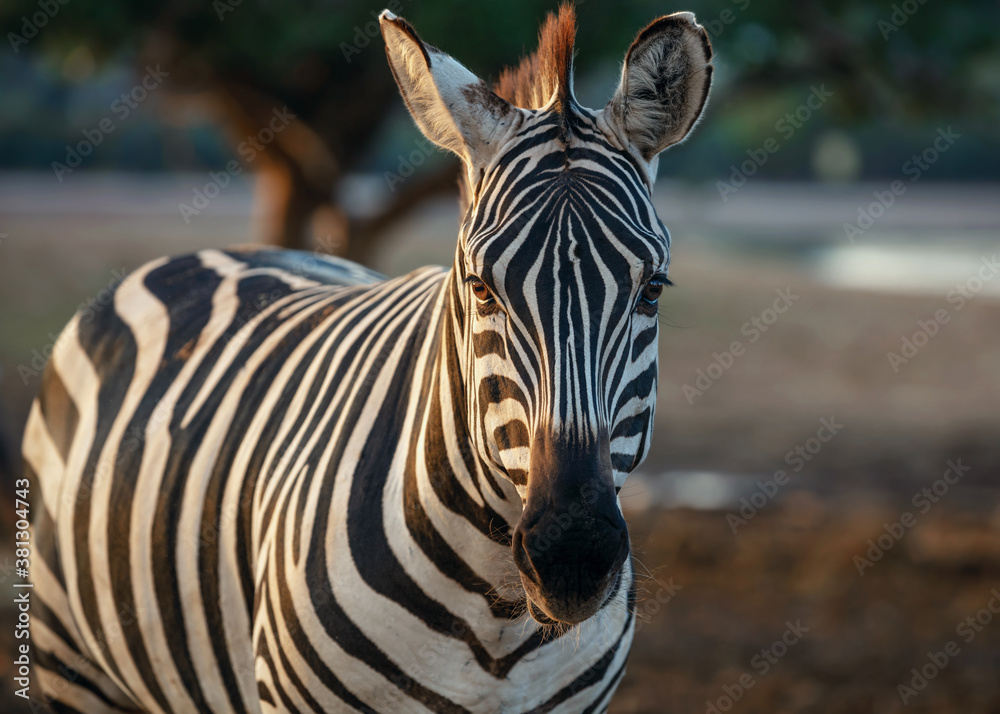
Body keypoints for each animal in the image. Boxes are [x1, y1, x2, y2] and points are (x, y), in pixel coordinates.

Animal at [23, 5, 712, 712]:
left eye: (653, 290)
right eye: (480, 288)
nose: (572, 557)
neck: (499, 613)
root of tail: (223, 251)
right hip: (69, 657)